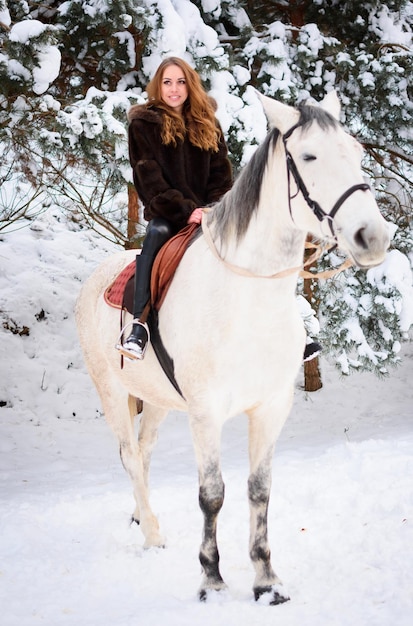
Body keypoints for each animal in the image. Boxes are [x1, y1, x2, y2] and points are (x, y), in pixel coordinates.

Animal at [75, 90, 388, 604]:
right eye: (309, 156)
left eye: (357, 152)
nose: (374, 237)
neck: (247, 301)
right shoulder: (206, 413)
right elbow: (212, 494)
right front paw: (212, 580)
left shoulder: (271, 407)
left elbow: (259, 490)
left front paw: (267, 582)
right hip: (111, 391)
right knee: (128, 454)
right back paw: (153, 534)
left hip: (157, 400)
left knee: (143, 451)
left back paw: (145, 515)